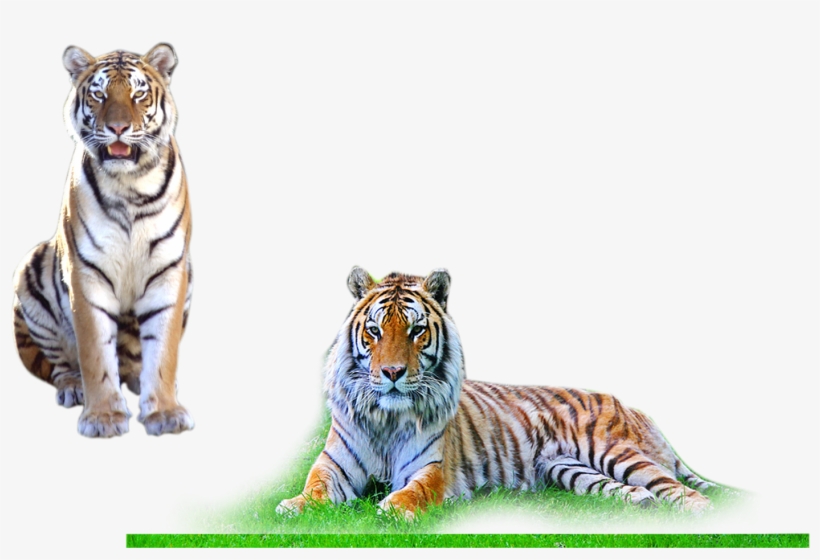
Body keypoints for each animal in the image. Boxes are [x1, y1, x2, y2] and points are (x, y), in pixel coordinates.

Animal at [12, 44, 194, 438]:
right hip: (31, 274)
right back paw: (72, 387)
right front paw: (103, 418)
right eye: (99, 94)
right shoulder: (86, 273)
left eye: (138, 94)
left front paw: (165, 412)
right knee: (61, 364)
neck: (131, 187)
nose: (118, 128)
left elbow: (164, 350)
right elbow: (95, 352)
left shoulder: (169, 271)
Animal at [277, 267, 715, 520]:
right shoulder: (334, 465)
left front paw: (391, 508)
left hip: (616, 452)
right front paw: (293, 506)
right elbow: (314, 488)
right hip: (569, 469)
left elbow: (414, 492)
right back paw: (640, 502)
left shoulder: (431, 468)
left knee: (678, 488)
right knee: (636, 491)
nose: (393, 373)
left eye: (416, 331)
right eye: (374, 331)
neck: (388, 417)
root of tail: (634, 406)